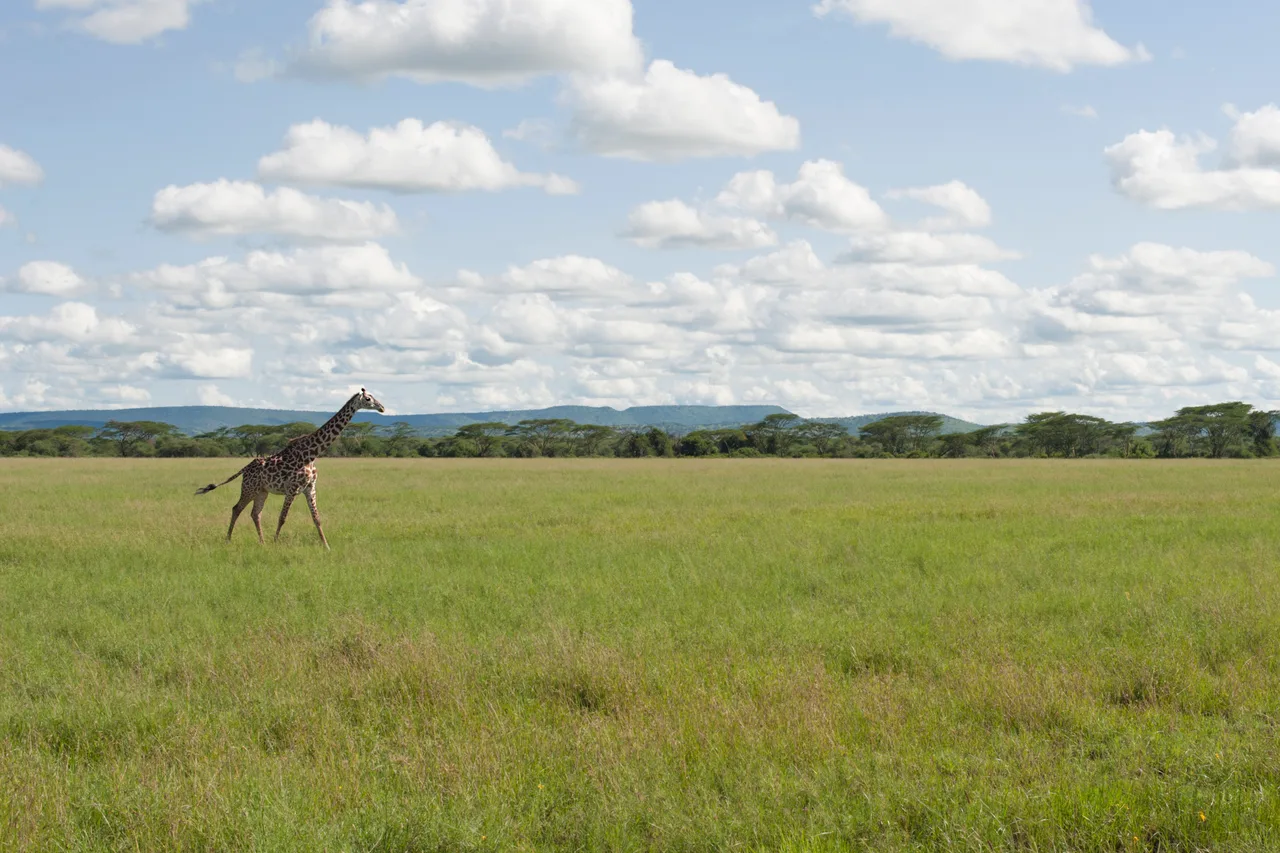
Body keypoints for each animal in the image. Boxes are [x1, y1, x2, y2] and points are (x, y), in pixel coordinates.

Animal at [195, 388, 385, 550]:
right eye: (368, 399)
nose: (382, 407)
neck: (311, 454)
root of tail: (245, 468)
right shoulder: (292, 489)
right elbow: (282, 518)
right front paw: (275, 543)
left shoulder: (310, 488)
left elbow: (317, 518)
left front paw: (326, 547)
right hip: (250, 488)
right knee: (237, 508)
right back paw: (228, 540)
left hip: (262, 491)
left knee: (255, 514)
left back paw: (262, 542)